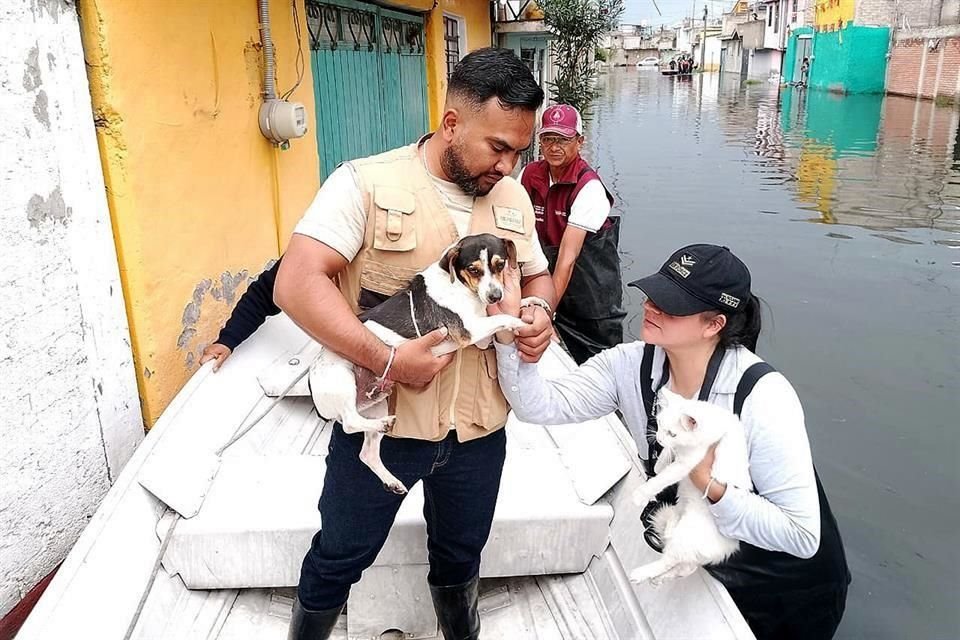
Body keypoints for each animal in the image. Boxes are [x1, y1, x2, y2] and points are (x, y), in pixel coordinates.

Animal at [310, 232, 524, 492]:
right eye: (473, 270)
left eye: (500, 265)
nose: (496, 296)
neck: (461, 287)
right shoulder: (468, 331)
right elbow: (503, 317)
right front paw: (521, 322)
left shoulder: (479, 338)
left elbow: (500, 321)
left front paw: (529, 306)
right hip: (343, 380)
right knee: (350, 423)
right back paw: (383, 425)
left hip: (376, 401)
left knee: (366, 453)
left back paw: (391, 480)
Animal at [628, 384, 752, 584]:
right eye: (659, 423)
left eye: (672, 433)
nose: (659, 439)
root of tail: (727, 549)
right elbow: (666, 456)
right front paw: (660, 462)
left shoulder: (688, 462)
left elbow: (663, 478)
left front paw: (641, 494)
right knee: (686, 566)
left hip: (686, 538)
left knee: (669, 562)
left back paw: (642, 574)